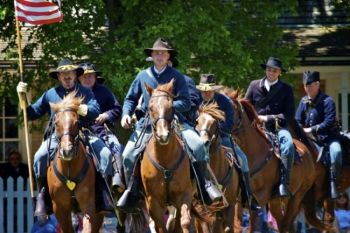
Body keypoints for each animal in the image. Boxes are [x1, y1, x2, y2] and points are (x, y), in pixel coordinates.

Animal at [48, 92, 104, 232]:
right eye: (56, 123)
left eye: (77, 122)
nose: (67, 151)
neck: (69, 169)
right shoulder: (60, 208)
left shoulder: (88, 205)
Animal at [141, 80, 193, 233]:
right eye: (150, 108)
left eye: (171, 107)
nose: (163, 135)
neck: (165, 159)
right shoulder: (153, 202)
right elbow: (161, 227)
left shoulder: (184, 194)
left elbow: (183, 222)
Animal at [194, 104, 241, 233]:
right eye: (197, 121)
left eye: (215, 123)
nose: (203, 142)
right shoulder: (203, 210)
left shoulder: (230, 205)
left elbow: (228, 228)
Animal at [224, 90, 330, 233]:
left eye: (231, 108)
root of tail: (307, 151)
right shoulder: (239, 199)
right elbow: (236, 225)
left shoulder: (259, 198)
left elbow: (253, 226)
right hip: (277, 202)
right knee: (283, 223)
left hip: (296, 196)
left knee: (285, 223)